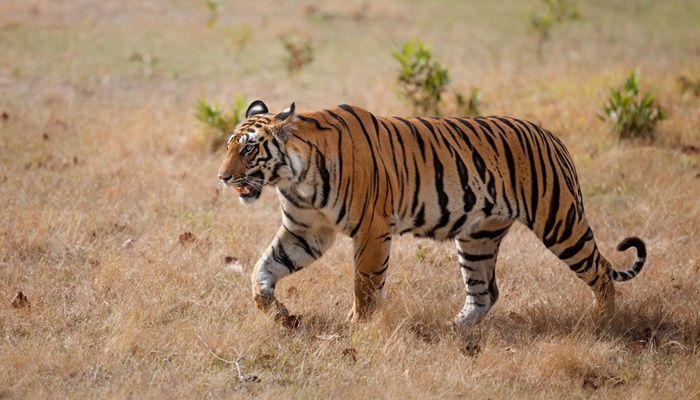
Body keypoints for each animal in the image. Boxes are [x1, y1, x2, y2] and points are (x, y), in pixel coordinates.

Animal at [217, 100, 646, 326]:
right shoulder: (306, 232)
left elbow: (364, 284)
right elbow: (263, 269)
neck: (294, 178)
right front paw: (277, 313)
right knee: (485, 292)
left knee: (601, 271)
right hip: (477, 236)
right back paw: (454, 330)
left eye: (249, 149)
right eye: (228, 146)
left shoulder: (372, 230)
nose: (223, 177)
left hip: (560, 221)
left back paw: (602, 323)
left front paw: (357, 327)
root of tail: (553, 137)